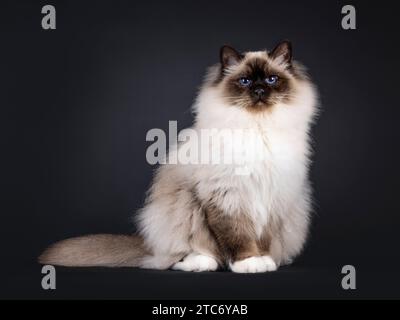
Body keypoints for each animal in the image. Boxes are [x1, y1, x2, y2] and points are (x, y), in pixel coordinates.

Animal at [39, 41, 318, 272]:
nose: (259, 90)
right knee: (178, 257)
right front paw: (248, 262)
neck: (257, 128)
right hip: (182, 209)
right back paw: (202, 263)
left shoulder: (275, 197)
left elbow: (263, 239)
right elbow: (237, 236)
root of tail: (149, 246)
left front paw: (264, 260)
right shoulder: (226, 197)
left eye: (271, 79)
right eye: (245, 82)